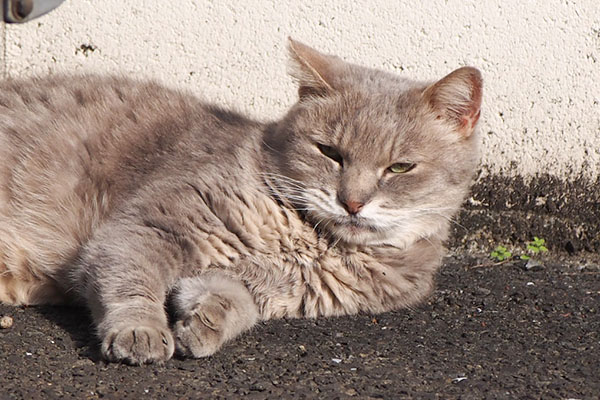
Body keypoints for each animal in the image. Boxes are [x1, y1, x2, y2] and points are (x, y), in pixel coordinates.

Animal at [0, 39, 480, 364]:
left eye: (399, 168)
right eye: (330, 153)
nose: (352, 202)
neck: (308, 241)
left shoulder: (259, 286)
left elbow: (235, 303)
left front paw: (204, 325)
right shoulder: (148, 227)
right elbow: (131, 281)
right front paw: (142, 330)